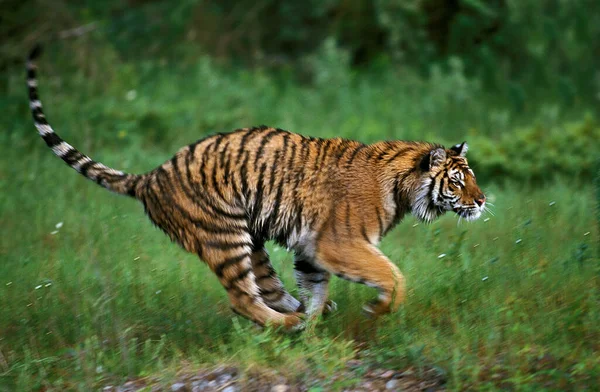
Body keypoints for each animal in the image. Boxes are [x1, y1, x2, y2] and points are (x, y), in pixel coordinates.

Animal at [27, 47, 488, 332]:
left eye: (471, 177)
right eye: (458, 180)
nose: (482, 200)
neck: (402, 185)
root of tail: (151, 175)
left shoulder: (312, 249)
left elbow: (316, 288)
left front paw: (316, 330)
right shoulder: (340, 243)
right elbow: (392, 275)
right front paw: (377, 309)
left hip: (251, 242)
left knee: (267, 290)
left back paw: (302, 318)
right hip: (224, 236)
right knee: (243, 300)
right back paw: (288, 324)